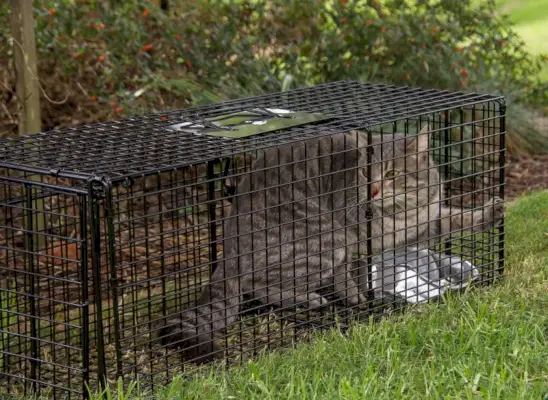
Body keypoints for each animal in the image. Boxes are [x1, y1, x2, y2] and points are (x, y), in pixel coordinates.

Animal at [159, 126, 506, 362]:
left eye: (392, 173)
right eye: (366, 173)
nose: (373, 190)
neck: (403, 211)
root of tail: (229, 241)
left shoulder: (424, 223)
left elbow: (456, 218)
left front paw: (490, 213)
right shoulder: (347, 237)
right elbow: (345, 275)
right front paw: (356, 296)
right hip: (321, 237)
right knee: (256, 284)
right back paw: (309, 299)